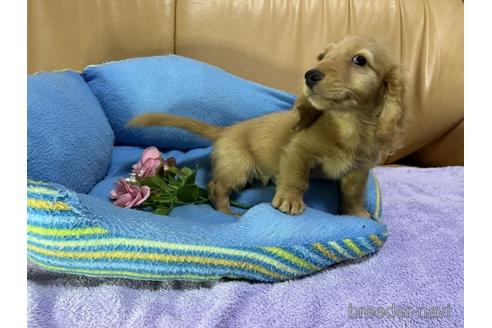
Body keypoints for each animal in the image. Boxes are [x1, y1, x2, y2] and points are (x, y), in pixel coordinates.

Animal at [129, 35, 406, 218]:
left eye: (360, 60)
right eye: (322, 56)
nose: (310, 75)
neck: (347, 126)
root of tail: (227, 130)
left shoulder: (358, 170)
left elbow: (353, 193)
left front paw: (355, 213)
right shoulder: (298, 152)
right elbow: (296, 178)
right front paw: (290, 200)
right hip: (237, 168)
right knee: (216, 188)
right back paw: (228, 213)